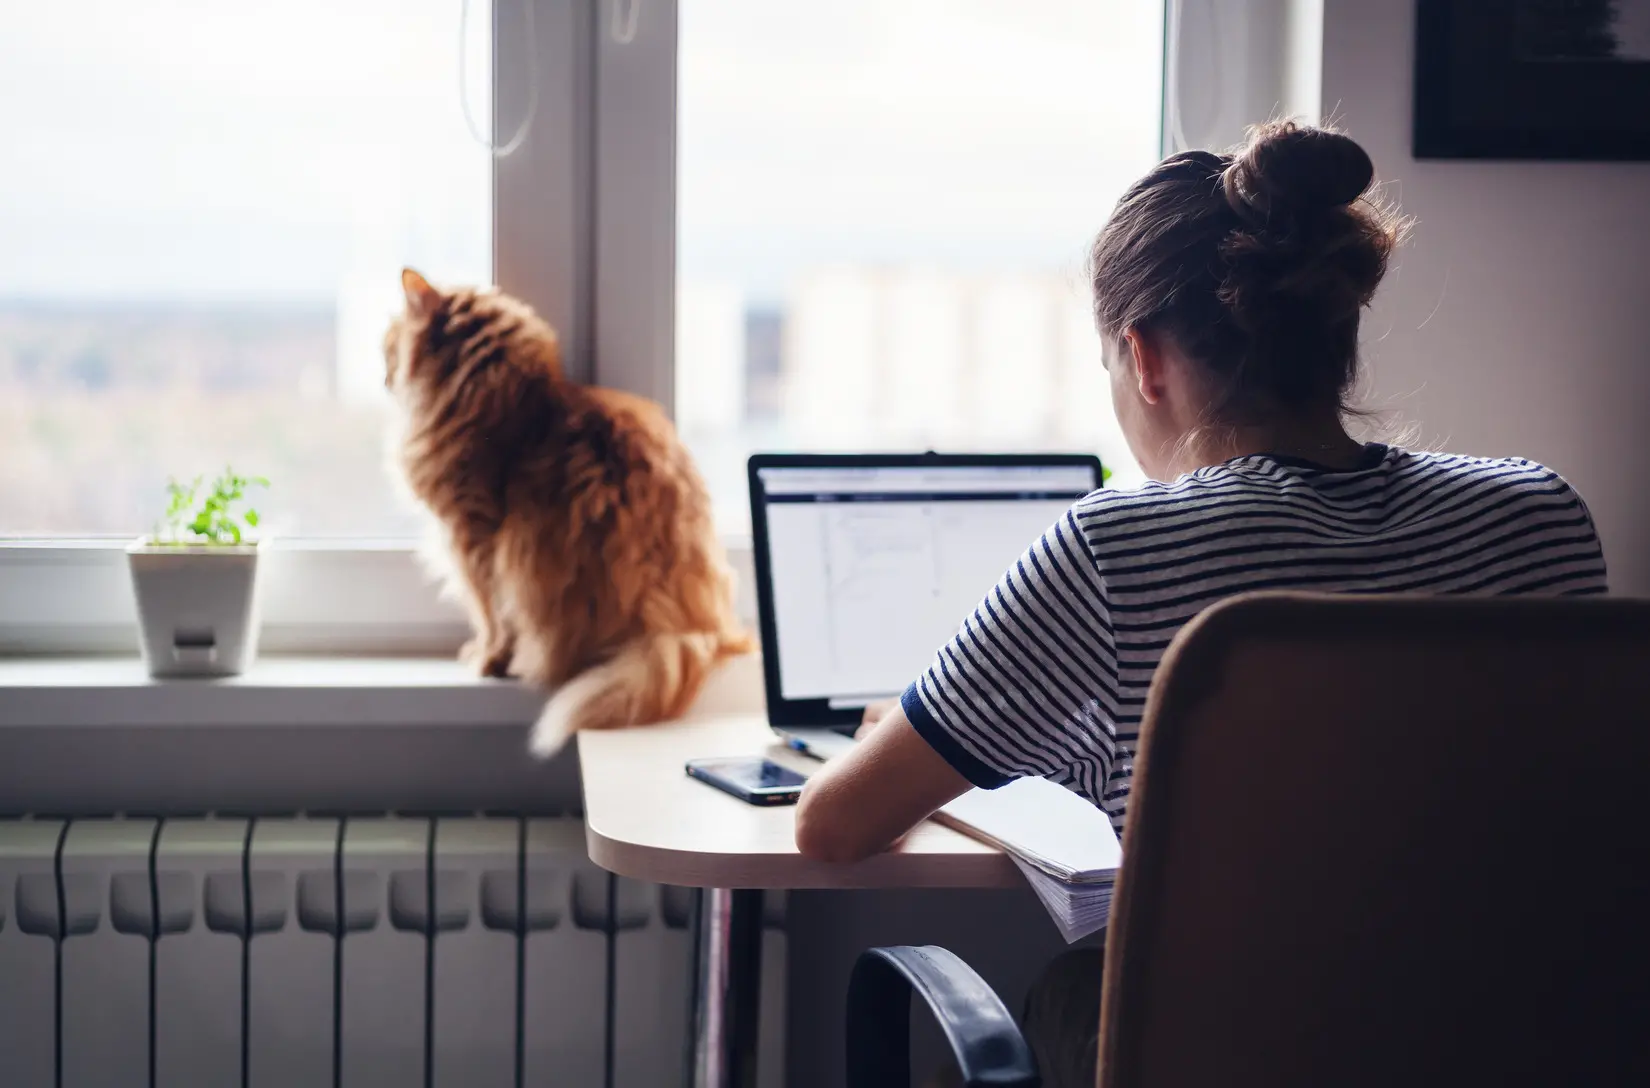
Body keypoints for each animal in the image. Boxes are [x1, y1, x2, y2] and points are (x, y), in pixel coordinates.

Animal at [382, 267, 752, 752]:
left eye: (389, 345)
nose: (384, 376)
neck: (508, 401)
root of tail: (685, 626)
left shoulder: (472, 537)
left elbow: (489, 615)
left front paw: (486, 659)